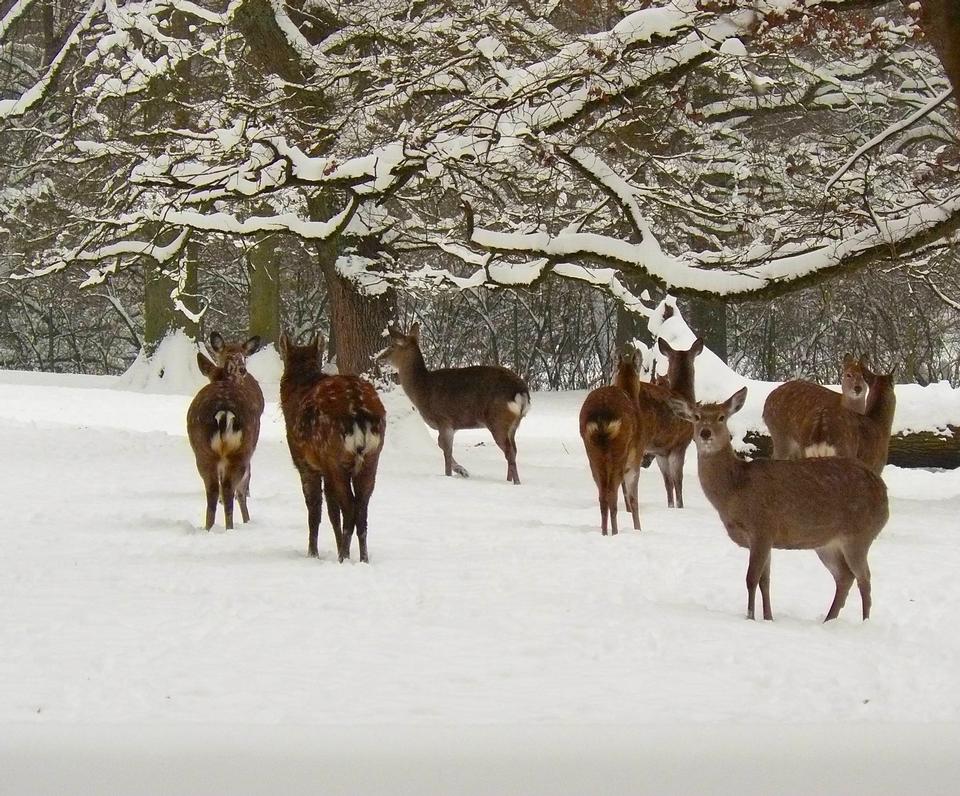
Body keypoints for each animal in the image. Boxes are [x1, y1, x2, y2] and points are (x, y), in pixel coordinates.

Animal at [188, 334, 264, 528]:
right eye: (230, 355)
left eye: (244, 356)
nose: (242, 370)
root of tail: (224, 411)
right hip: (239, 451)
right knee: (228, 489)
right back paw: (228, 527)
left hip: (204, 451)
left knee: (217, 489)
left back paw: (212, 527)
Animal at [278, 332, 386, 564]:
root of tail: (359, 412)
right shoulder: (325, 468)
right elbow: (332, 511)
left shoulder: (306, 464)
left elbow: (316, 509)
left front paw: (313, 553)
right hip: (372, 459)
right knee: (361, 511)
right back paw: (362, 558)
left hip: (336, 458)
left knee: (350, 508)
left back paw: (343, 557)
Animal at [376, 320, 528, 482]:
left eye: (392, 345)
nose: (378, 359)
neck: (421, 390)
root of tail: (521, 392)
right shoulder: (452, 425)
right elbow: (441, 445)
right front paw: (462, 470)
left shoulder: (444, 420)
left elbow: (446, 451)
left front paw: (451, 474)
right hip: (514, 424)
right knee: (514, 450)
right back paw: (508, 479)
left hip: (498, 420)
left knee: (509, 451)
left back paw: (515, 482)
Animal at [576, 344, 644, 536]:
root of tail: (601, 418)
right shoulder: (635, 460)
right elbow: (633, 498)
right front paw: (638, 529)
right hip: (619, 451)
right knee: (611, 494)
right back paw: (615, 532)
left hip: (592, 452)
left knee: (602, 495)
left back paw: (604, 532)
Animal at [672, 386, 888, 620]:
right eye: (696, 417)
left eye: (721, 417)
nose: (705, 433)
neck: (735, 490)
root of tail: (883, 493)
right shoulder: (764, 539)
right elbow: (765, 581)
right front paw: (768, 617)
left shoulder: (762, 528)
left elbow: (751, 579)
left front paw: (750, 617)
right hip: (826, 542)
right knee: (844, 576)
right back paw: (828, 620)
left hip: (859, 535)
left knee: (864, 578)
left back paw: (864, 621)